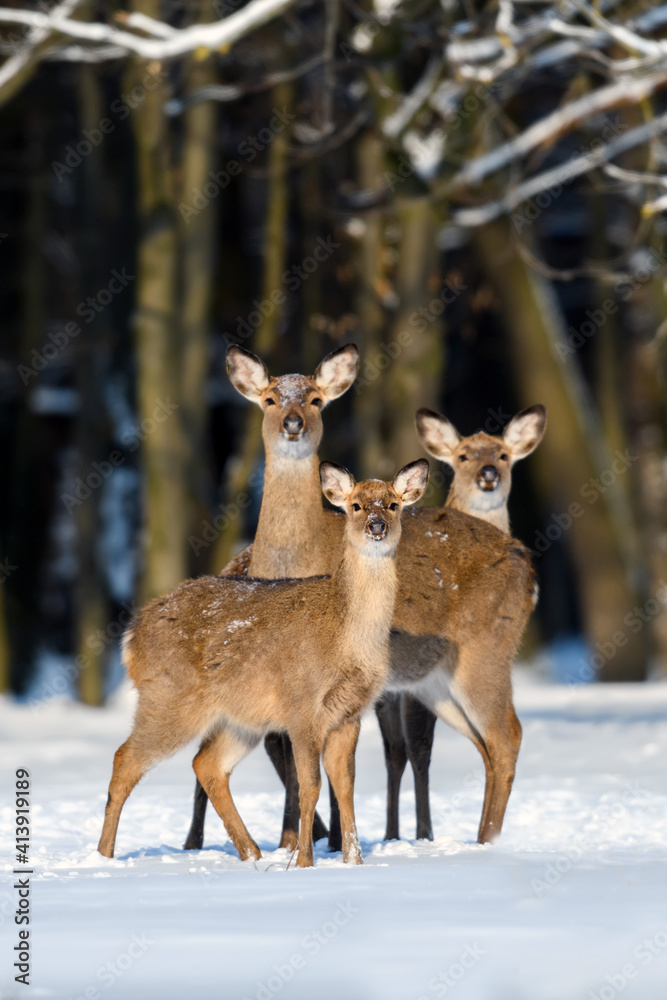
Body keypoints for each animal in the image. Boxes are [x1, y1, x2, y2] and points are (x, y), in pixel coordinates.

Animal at [97, 460, 431, 866]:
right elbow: (310, 785)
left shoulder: (349, 713)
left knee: (206, 764)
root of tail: (133, 634)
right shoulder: (302, 705)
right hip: (169, 698)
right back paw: (103, 856)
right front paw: (304, 861)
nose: (376, 526)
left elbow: (345, 787)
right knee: (125, 759)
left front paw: (354, 861)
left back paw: (252, 853)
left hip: (240, 717)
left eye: (394, 505)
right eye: (356, 506)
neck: (345, 636)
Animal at [375, 404, 547, 842]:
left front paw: (419, 834)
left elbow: (415, 748)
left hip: (474, 662)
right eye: (464, 456)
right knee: (486, 744)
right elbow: (406, 750)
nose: (488, 473)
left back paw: (484, 839)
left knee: (503, 736)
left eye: (503, 455)